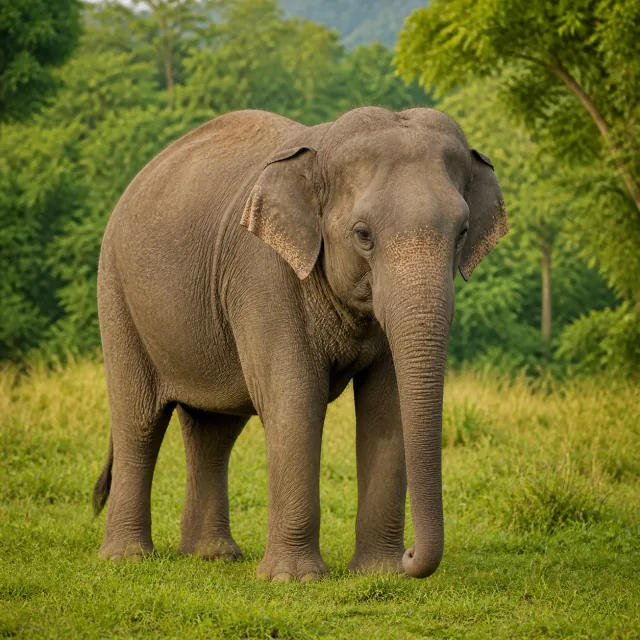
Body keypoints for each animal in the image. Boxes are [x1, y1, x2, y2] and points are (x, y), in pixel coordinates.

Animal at [92, 107, 507, 582]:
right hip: (116, 294)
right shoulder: (263, 273)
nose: (409, 555)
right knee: (138, 419)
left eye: (462, 232)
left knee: (213, 430)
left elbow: (387, 406)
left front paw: (379, 573)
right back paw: (126, 558)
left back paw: (213, 556)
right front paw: (294, 579)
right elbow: (295, 397)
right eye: (363, 234)